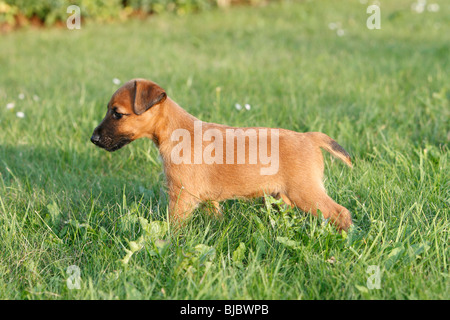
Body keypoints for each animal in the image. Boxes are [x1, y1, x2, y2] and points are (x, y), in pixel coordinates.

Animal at [89, 79, 354, 231]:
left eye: (117, 114)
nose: (94, 139)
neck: (175, 131)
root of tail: (310, 137)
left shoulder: (181, 197)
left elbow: (174, 227)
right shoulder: (207, 199)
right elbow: (216, 216)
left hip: (306, 192)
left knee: (341, 213)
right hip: (285, 196)